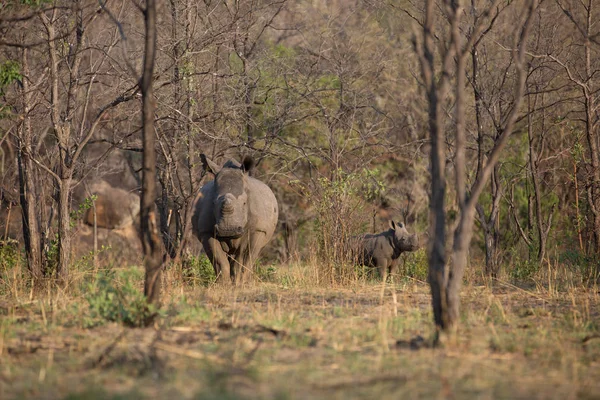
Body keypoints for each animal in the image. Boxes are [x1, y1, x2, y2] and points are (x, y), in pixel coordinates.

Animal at [192, 154, 278, 284]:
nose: (228, 230)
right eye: (213, 203)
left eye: (244, 203)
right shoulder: (207, 231)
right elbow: (219, 260)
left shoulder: (255, 229)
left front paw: (240, 283)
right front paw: (222, 284)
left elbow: (243, 259)